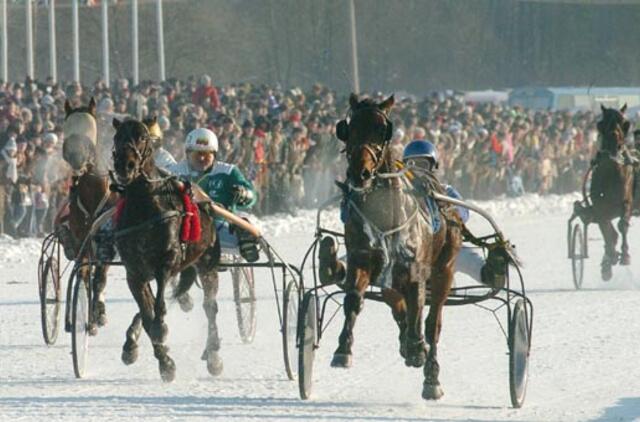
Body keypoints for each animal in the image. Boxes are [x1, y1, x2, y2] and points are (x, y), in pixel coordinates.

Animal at [114, 117, 224, 380]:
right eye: (117, 136)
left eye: (142, 137)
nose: (125, 165)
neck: (144, 207)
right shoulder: (134, 272)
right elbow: (147, 313)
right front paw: (165, 362)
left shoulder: (166, 262)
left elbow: (158, 308)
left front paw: (161, 333)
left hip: (207, 264)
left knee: (210, 307)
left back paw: (213, 355)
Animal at [330, 94, 460, 400]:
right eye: (349, 128)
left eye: (382, 129)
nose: (361, 173)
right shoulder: (362, 259)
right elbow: (354, 299)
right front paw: (343, 349)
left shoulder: (415, 269)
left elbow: (418, 311)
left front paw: (417, 349)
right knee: (397, 305)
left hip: (445, 269)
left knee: (433, 322)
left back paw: (430, 373)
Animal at [592, 104, 636, 278]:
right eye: (601, 124)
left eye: (626, 123)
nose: (613, 143)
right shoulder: (599, 204)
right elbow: (606, 228)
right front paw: (609, 258)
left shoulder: (626, 200)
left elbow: (622, 225)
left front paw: (625, 255)